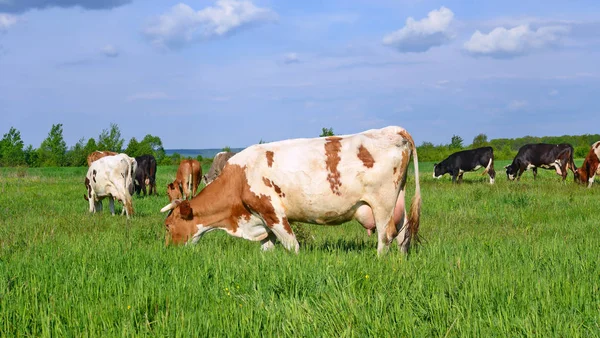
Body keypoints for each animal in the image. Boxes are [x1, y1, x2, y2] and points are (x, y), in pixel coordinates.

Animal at [159, 125, 422, 255]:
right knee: (402, 236)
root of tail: (392, 130)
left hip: (382, 204)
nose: (168, 251)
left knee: (385, 237)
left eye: (168, 226)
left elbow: (293, 246)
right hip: (397, 202)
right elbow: (267, 249)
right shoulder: (263, 220)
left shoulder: (272, 212)